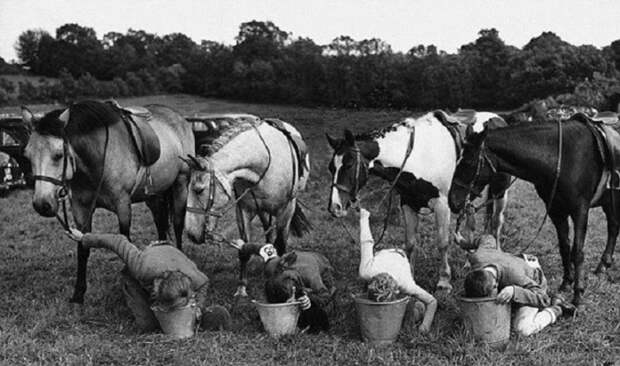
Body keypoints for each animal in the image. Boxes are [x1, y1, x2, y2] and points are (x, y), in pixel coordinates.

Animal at [23, 100, 194, 304]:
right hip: (153, 194)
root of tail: (180, 118)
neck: (95, 161)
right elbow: (83, 248)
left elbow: (125, 242)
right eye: (27, 156)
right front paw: (78, 294)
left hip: (181, 183)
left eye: (58, 155)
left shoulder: (122, 205)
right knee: (161, 224)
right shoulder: (81, 208)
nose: (42, 204)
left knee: (177, 223)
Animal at [183, 117, 310, 298]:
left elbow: (281, 244)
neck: (263, 163)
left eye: (198, 190)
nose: (191, 234)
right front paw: (242, 287)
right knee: (267, 231)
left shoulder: (286, 211)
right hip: (262, 210)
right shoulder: (244, 209)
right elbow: (244, 249)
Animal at [326, 111, 512, 292]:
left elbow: (443, 243)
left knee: (496, 223)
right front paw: (410, 274)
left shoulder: (442, 206)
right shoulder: (408, 203)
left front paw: (444, 281)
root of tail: (498, 118)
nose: (335, 207)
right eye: (331, 167)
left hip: (499, 193)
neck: (419, 156)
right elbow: (410, 243)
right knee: (471, 225)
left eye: (349, 164)